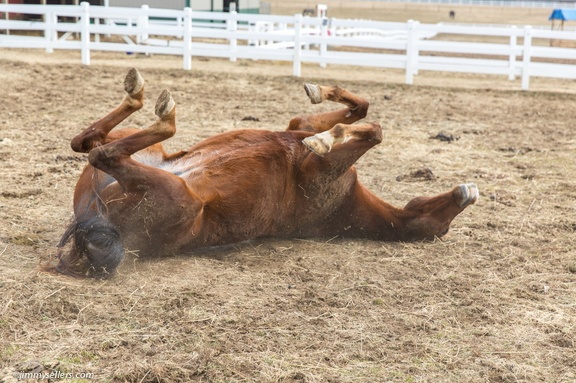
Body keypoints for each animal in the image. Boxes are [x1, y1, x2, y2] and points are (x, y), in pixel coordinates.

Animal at [53, 68, 476, 280]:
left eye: (442, 226)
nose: (465, 193)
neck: (342, 205)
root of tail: (95, 223)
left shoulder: (314, 164)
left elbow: (371, 129)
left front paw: (330, 136)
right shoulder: (299, 128)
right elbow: (363, 112)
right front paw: (321, 97)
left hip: (175, 192)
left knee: (100, 150)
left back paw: (156, 106)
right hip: (147, 162)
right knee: (88, 142)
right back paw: (139, 93)